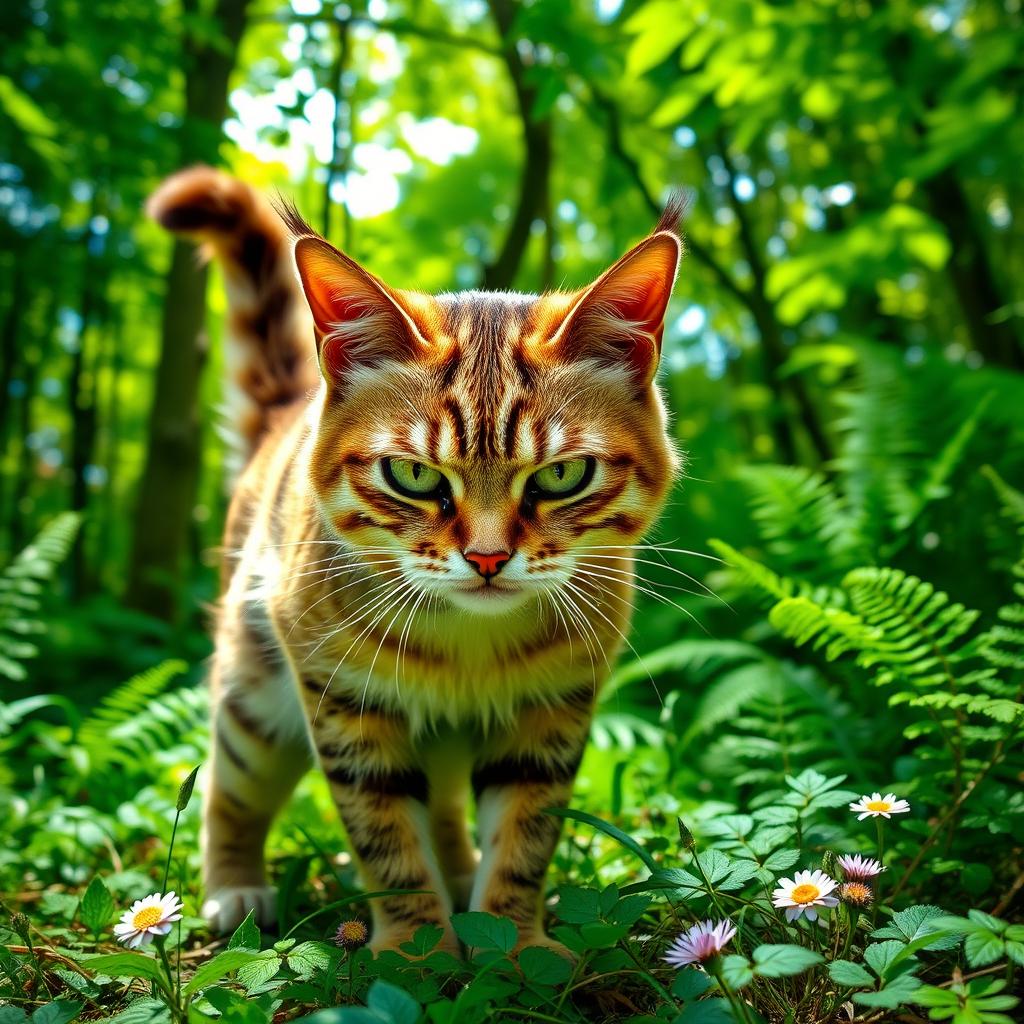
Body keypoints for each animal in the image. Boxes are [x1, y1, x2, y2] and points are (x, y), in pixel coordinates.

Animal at [146, 167, 679, 958]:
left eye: (560, 476)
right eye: (414, 477)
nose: (487, 558)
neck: (468, 645)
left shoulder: (554, 705)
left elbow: (525, 834)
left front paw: (510, 942)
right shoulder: (343, 701)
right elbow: (385, 835)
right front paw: (416, 951)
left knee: (448, 806)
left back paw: (459, 876)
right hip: (257, 695)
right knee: (225, 783)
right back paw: (234, 887)